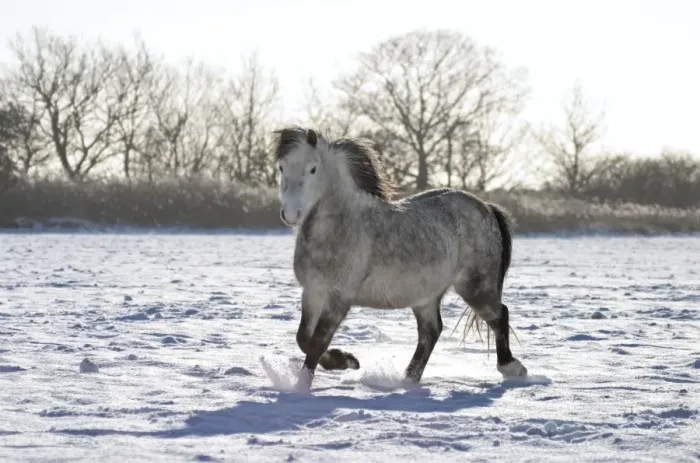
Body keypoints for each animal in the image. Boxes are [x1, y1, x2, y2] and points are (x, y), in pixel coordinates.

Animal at [273, 126, 528, 390]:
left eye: (313, 169)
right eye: (281, 167)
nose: (291, 214)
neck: (340, 227)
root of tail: (487, 208)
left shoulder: (338, 297)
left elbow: (317, 342)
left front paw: (305, 384)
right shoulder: (313, 292)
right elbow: (303, 338)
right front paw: (345, 361)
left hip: (475, 287)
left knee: (499, 315)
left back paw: (511, 368)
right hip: (426, 296)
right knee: (431, 331)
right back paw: (408, 379)